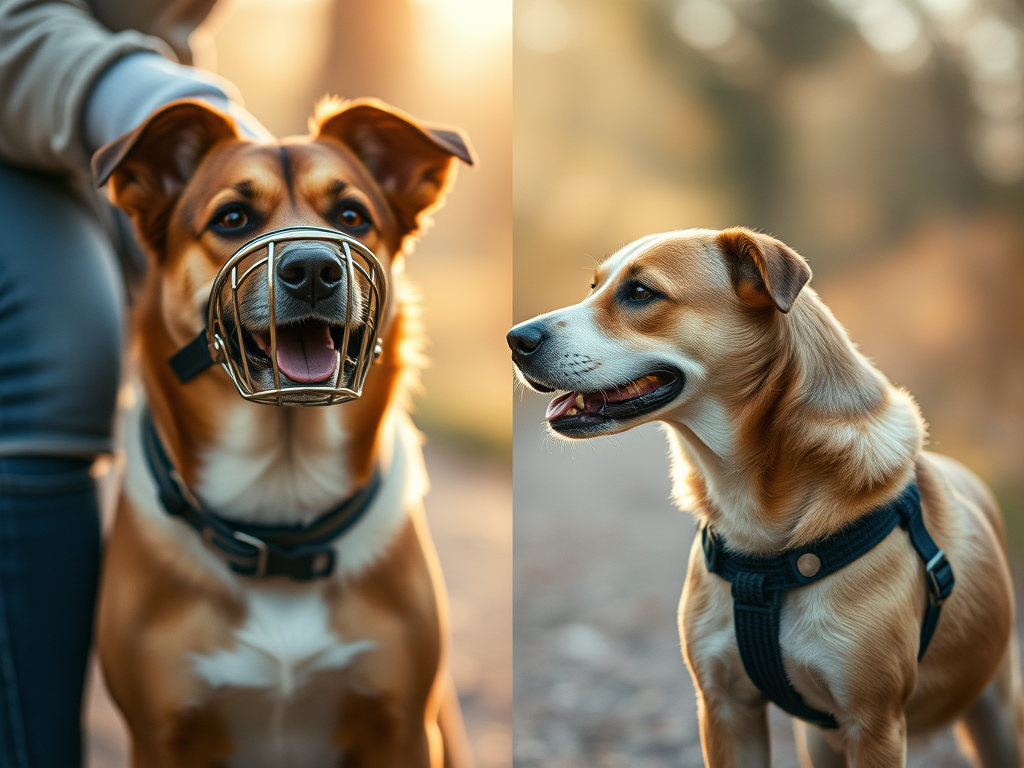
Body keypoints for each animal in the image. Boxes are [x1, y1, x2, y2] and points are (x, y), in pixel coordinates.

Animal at [90, 99, 473, 765]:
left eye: (351, 215)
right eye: (232, 217)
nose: (314, 268)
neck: (281, 512)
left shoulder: (403, 728)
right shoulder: (159, 735)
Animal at [507, 228, 1019, 768]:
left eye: (641, 292)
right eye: (594, 287)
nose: (517, 339)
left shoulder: (874, 724)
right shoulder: (725, 707)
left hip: (996, 713)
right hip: (820, 740)